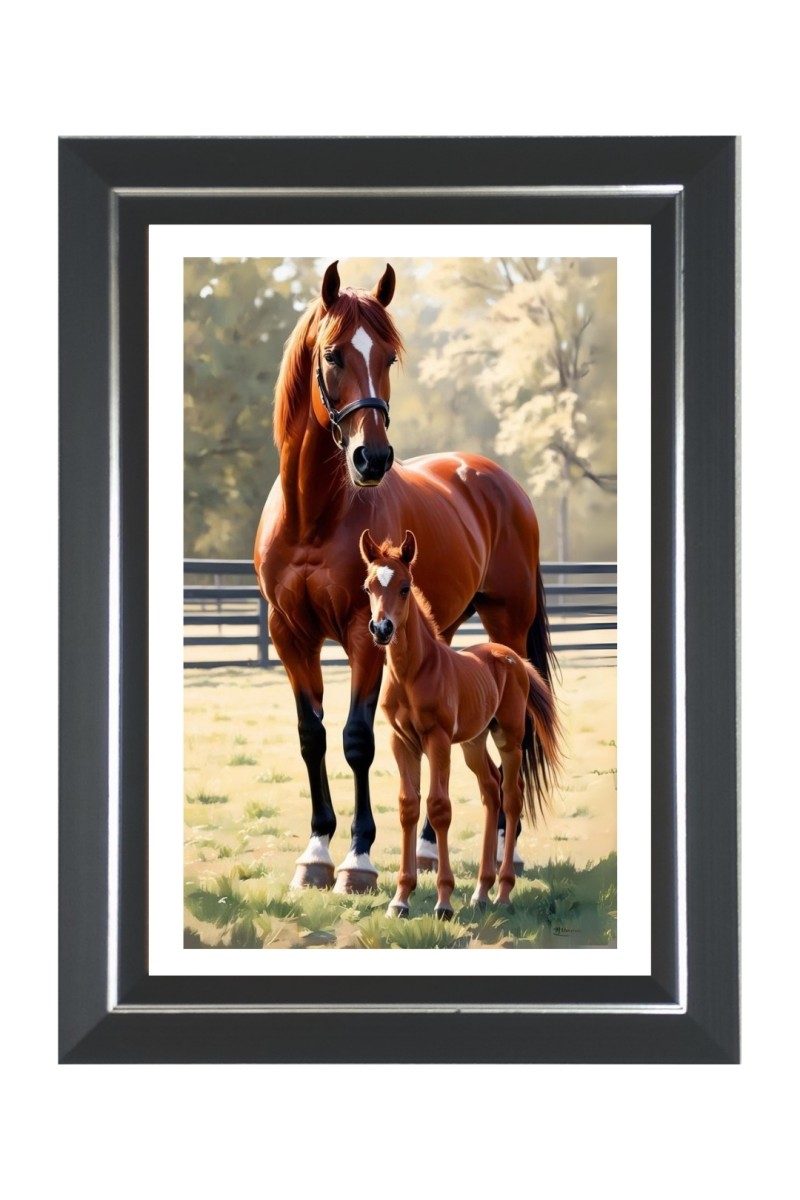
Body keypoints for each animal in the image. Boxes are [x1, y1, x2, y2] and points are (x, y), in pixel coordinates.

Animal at [360, 530, 561, 916]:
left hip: (508, 737)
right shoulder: (401, 741)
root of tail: (512, 657)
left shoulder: (437, 740)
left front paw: (443, 900)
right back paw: (481, 890)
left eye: (405, 587)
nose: (381, 629)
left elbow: (439, 807)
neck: (413, 673)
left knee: (512, 796)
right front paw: (400, 899)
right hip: (473, 742)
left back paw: (503, 891)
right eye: (368, 587)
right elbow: (408, 806)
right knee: (491, 790)